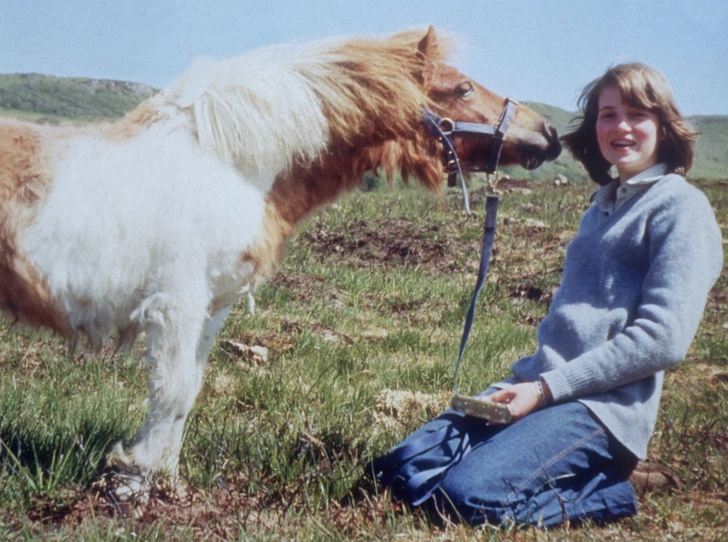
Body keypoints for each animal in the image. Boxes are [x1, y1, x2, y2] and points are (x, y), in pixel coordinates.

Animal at [0, 25, 560, 496]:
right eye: (462, 89)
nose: (549, 133)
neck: (227, 166)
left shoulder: (213, 306)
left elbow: (189, 390)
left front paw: (164, 479)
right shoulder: (176, 302)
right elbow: (172, 391)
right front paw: (135, 483)